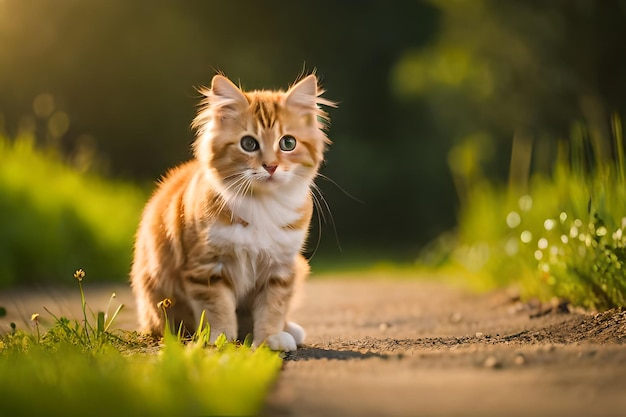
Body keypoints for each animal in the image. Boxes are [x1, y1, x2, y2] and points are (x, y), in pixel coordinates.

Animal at [130, 73, 334, 350]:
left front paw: (269, 338)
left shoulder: (280, 268)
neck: (262, 205)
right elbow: (218, 309)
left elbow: (272, 307)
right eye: (248, 144)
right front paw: (220, 339)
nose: (271, 166)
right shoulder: (207, 267)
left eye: (288, 143)